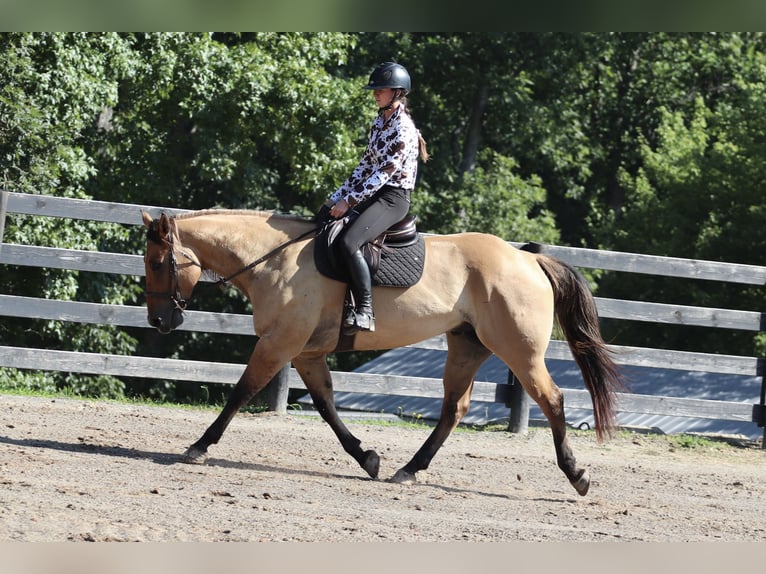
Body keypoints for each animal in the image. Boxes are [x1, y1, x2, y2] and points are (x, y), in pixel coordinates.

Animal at [142, 209, 624, 498]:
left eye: (157, 262)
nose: (159, 321)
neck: (272, 261)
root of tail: (527, 259)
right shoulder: (306, 353)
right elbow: (326, 406)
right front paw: (368, 457)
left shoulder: (279, 344)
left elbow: (240, 393)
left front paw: (199, 446)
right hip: (466, 346)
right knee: (454, 408)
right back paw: (410, 469)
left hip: (519, 352)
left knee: (552, 400)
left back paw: (577, 474)